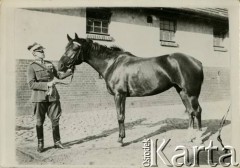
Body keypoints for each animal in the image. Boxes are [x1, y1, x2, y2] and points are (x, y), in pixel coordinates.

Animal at [57, 33, 202, 145]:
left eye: (75, 48)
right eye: (66, 47)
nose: (60, 66)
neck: (112, 64)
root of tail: (197, 62)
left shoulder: (119, 95)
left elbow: (120, 116)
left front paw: (120, 140)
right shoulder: (124, 96)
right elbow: (123, 115)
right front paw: (122, 137)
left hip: (191, 94)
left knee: (197, 111)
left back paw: (199, 139)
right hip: (182, 92)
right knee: (190, 112)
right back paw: (189, 137)